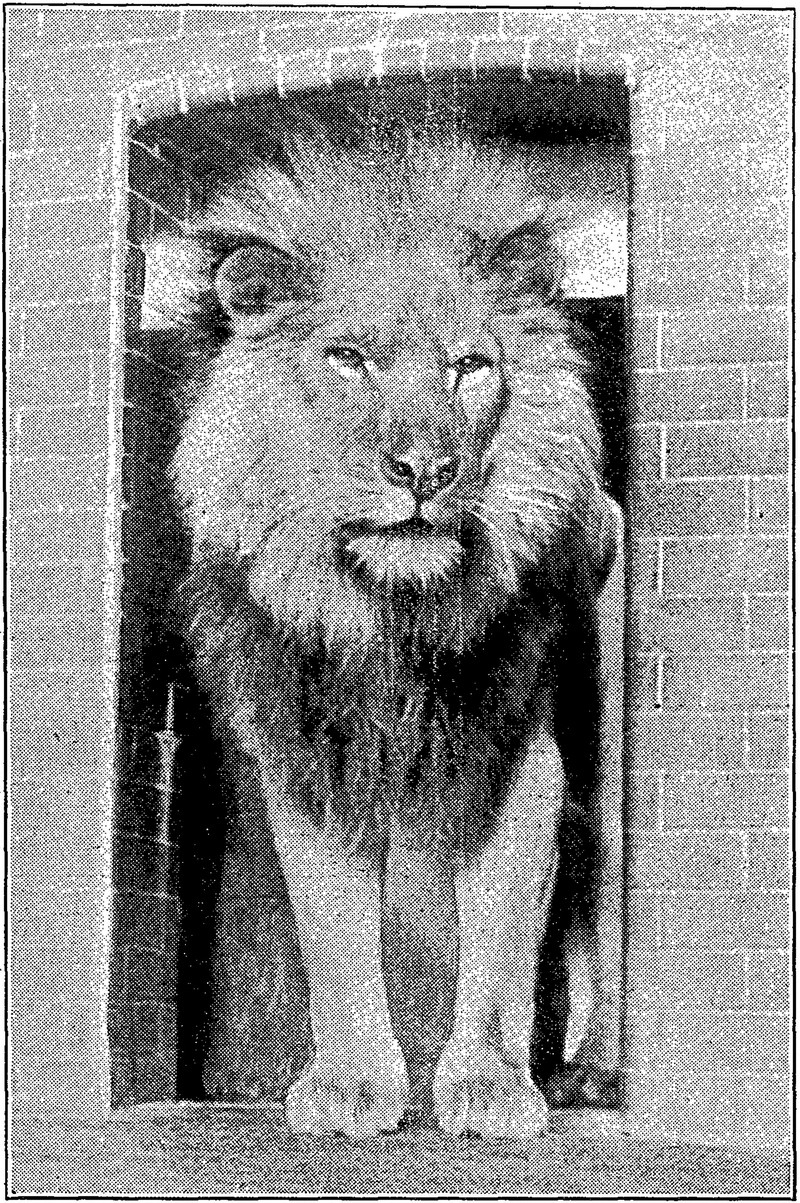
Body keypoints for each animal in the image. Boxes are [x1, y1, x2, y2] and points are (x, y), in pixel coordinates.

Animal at [169, 121, 623, 1138]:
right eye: (348, 358)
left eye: (469, 366)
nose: (424, 469)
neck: (392, 619)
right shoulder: (311, 758)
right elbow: (335, 935)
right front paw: (349, 1086)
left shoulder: (518, 757)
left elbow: (502, 944)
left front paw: (490, 1088)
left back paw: (591, 1072)